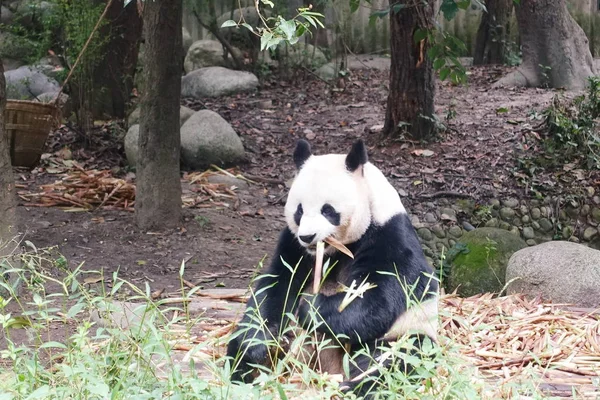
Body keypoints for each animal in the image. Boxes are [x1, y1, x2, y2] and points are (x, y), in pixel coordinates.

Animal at [227, 138, 438, 396]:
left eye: (327, 210)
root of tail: (326, 370)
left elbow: (376, 298)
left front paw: (311, 308)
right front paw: (258, 345)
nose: (308, 237)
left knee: (396, 359)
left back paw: (356, 385)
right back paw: (250, 369)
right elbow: (277, 286)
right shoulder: (293, 245)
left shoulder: (389, 235)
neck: (335, 248)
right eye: (299, 210)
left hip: (406, 333)